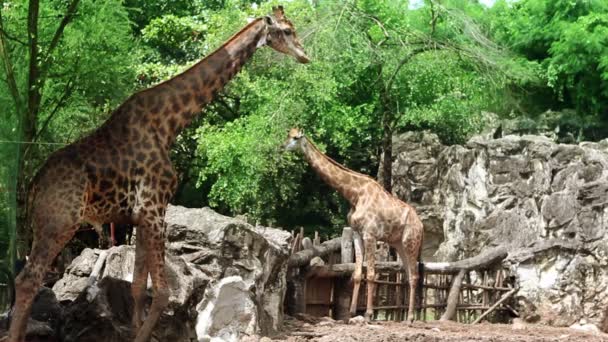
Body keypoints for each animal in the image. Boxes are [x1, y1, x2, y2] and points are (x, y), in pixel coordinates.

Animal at [10, 6, 308, 342]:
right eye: (286, 30)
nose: (305, 56)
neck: (169, 124)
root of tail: (34, 186)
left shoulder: (140, 216)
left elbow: (139, 287)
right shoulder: (154, 209)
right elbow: (163, 292)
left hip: (46, 225)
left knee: (30, 279)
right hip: (60, 222)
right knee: (27, 279)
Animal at [284, 127, 422, 320]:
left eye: (295, 138)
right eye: (287, 135)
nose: (281, 147)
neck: (354, 194)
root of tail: (421, 225)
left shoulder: (370, 234)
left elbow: (371, 273)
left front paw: (369, 314)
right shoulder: (357, 233)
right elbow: (357, 273)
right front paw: (351, 312)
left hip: (411, 243)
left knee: (415, 276)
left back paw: (410, 317)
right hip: (399, 244)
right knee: (409, 275)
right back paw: (409, 317)